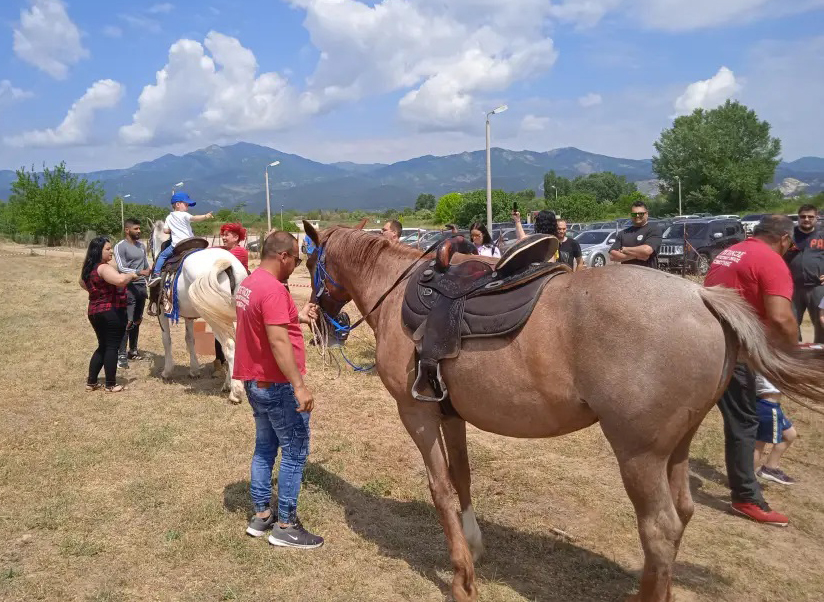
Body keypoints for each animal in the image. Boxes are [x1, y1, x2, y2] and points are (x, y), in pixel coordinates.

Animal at [148, 218, 246, 400]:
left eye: (150, 239)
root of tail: (226, 264)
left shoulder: (162, 312)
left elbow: (166, 340)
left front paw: (167, 371)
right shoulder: (188, 317)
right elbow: (190, 339)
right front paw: (194, 370)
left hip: (214, 318)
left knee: (229, 345)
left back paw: (234, 391)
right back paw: (228, 385)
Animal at [302, 221, 824, 600]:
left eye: (310, 260)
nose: (320, 319)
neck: (400, 293)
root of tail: (701, 294)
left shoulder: (417, 414)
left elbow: (441, 490)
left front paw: (462, 579)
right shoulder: (450, 413)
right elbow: (463, 478)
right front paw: (475, 546)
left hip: (639, 456)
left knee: (660, 529)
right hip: (677, 447)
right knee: (682, 513)